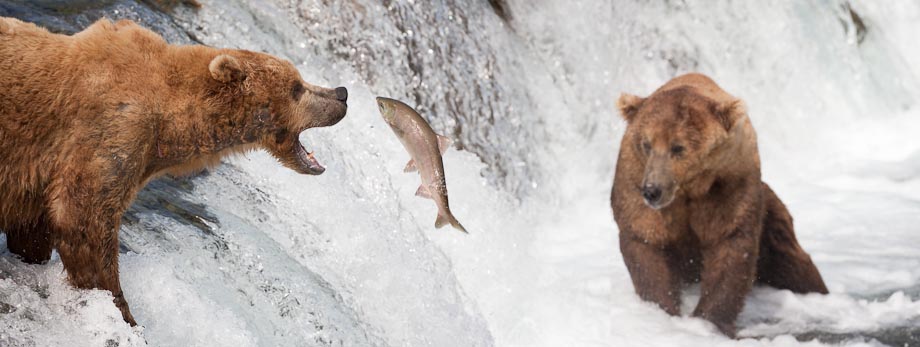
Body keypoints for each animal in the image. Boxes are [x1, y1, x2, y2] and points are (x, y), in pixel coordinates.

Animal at [0, 17, 348, 326]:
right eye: (297, 88)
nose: (341, 93)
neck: (169, 125)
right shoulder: (111, 132)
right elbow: (83, 219)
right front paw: (125, 316)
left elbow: (36, 230)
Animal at [612, 72, 828, 338]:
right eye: (647, 144)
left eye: (678, 147)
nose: (652, 190)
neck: (689, 187)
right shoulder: (634, 177)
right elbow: (645, 242)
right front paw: (663, 311)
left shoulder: (731, 180)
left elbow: (730, 244)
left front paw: (709, 320)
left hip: (772, 216)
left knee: (794, 265)